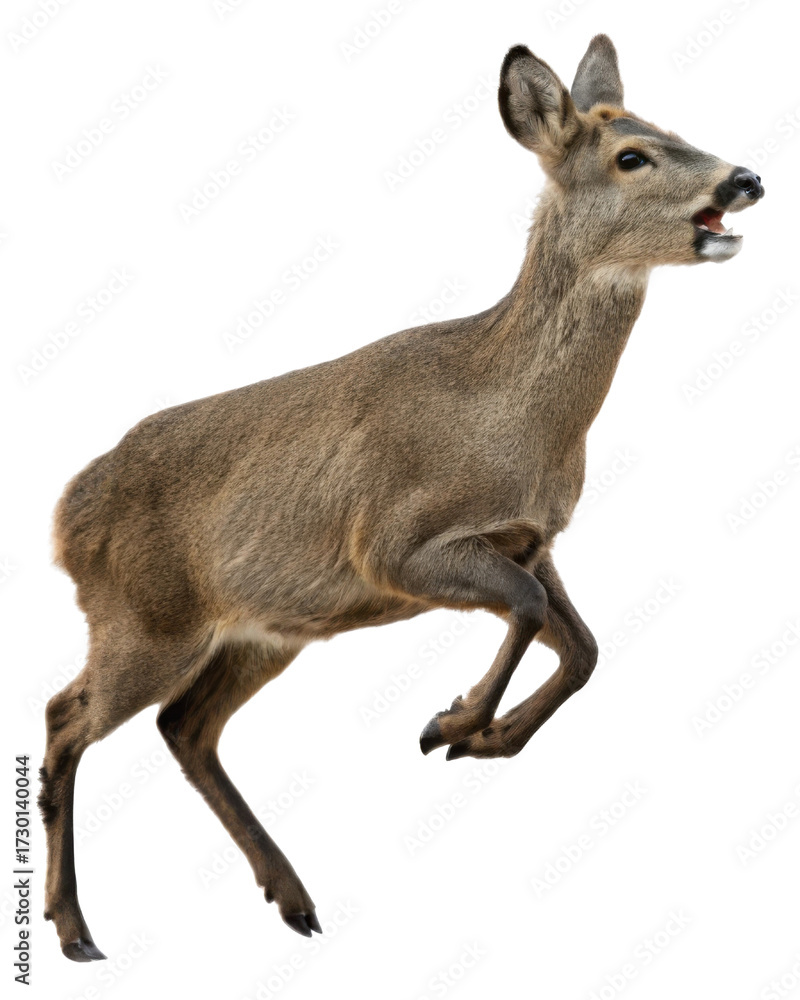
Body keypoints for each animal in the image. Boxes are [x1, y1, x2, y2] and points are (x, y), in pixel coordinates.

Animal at [39, 33, 764, 961]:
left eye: (671, 126)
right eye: (631, 155)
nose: (746, 178)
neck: (510, 419)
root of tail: (64, 519)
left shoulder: (531, 538)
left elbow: (584, 647)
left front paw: (480, 736)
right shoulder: (396, 544)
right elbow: (531, 613)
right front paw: (450, 725)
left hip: (264, 632)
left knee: (184, 726)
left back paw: (294, 900)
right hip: (145, 619)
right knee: (66, 716)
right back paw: (75, 929)